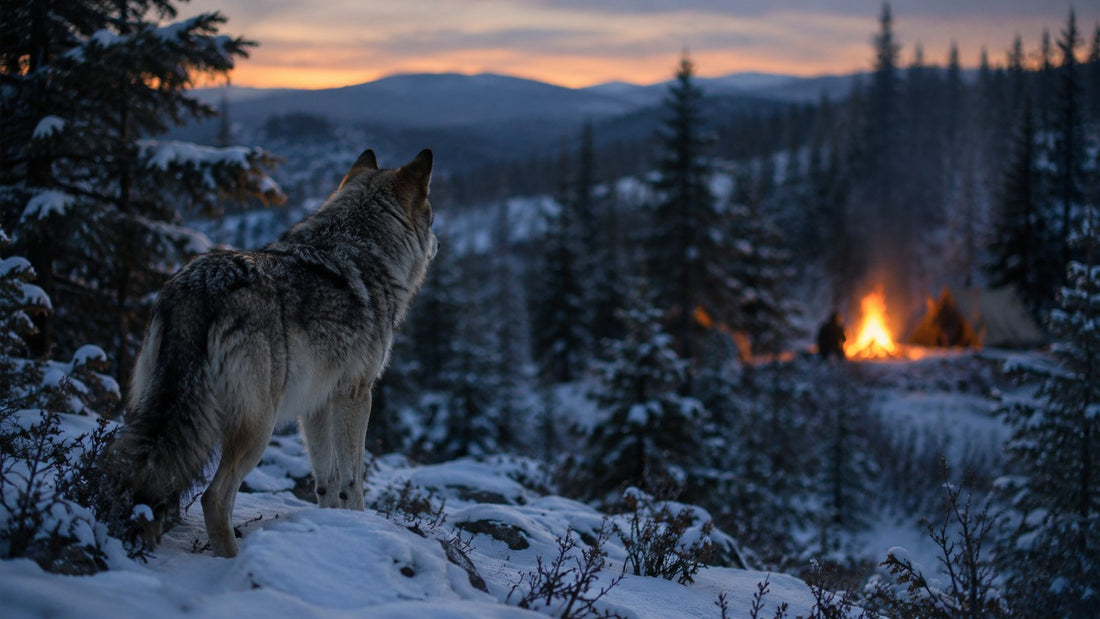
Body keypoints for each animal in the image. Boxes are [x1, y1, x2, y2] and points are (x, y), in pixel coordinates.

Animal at [111, 148, 437, 557]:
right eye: (433, 215)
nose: (438, 243)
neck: (364, 251)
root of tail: (201, 286)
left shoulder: (316, 405)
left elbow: (326, 481)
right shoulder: (357, 394)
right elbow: (353, 481)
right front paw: (361, 530)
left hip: (160, 410)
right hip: (258, 428)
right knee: (213, 497)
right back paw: (232, 559)